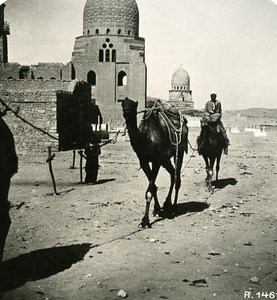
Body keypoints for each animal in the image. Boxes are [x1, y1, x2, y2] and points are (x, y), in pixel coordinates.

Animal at [121, 98, 188, 227]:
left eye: (132, 106)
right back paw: (167, 204)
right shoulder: (144, 161)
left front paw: (144, 220)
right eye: (122, 104)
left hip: (180, 151)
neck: (146, 139)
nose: (126, 112)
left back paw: (173, 207)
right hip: (165, 159)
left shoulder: (157, 161)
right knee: (172, 174)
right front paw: (156, 210)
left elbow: (149, 190)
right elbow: (153, 187)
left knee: (177, 177)